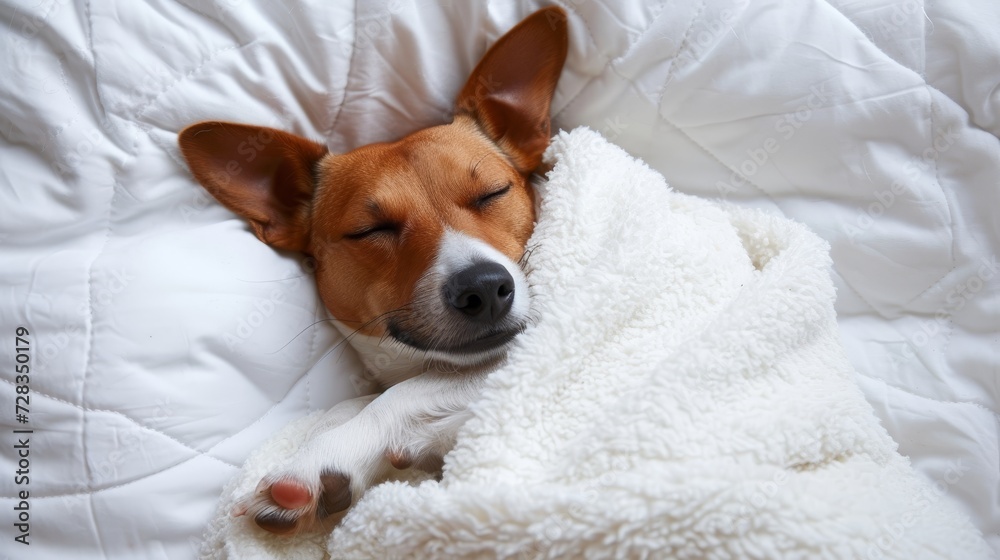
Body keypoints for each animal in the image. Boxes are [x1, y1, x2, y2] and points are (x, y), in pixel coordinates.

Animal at [180, 5, 568, 532]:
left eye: (492, 193)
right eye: (372, 229)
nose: (484, 288)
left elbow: (401, 395)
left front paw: (320, 457)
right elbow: (355, 401)